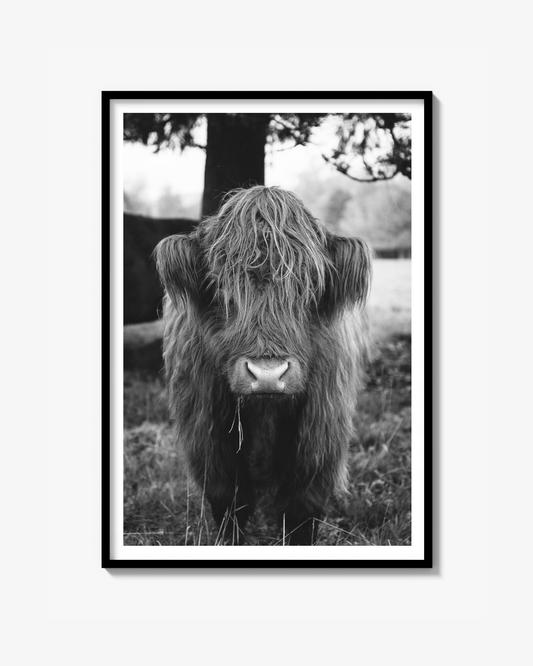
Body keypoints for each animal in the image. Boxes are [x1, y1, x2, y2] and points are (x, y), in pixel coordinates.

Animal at [155, 186, 372, 545]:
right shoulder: (207, 436)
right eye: (220, 285)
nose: (268, 376)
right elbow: (229, 504)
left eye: (311, 285)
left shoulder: (321, 435)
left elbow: (302, 512)